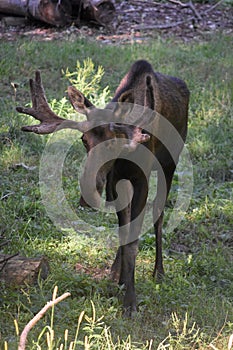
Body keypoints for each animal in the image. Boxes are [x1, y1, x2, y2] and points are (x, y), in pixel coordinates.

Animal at [17, 60, 189, 314]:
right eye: (84, 140)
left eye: (113, 142)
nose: (87, 195)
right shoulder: (116, 179)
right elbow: (124, 232)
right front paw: (121, 283)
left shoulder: (142, 177)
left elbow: (134, 240)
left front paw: (130, 303)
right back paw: (116, 272)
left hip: (169, 163)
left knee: (159, 214)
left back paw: (159, 272)